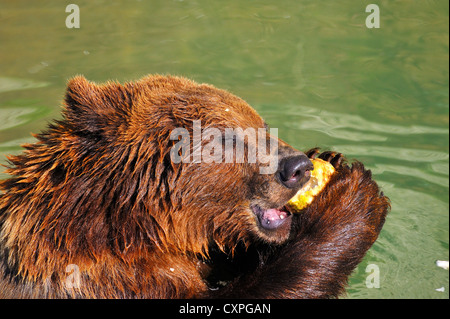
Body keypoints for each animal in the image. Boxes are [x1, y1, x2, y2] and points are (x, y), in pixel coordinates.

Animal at [0, 75, 388, 300]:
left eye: (262, 125)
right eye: (228, 138)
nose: (297, 167)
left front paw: (330, 158)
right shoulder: (106, 280)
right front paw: (351, 197)